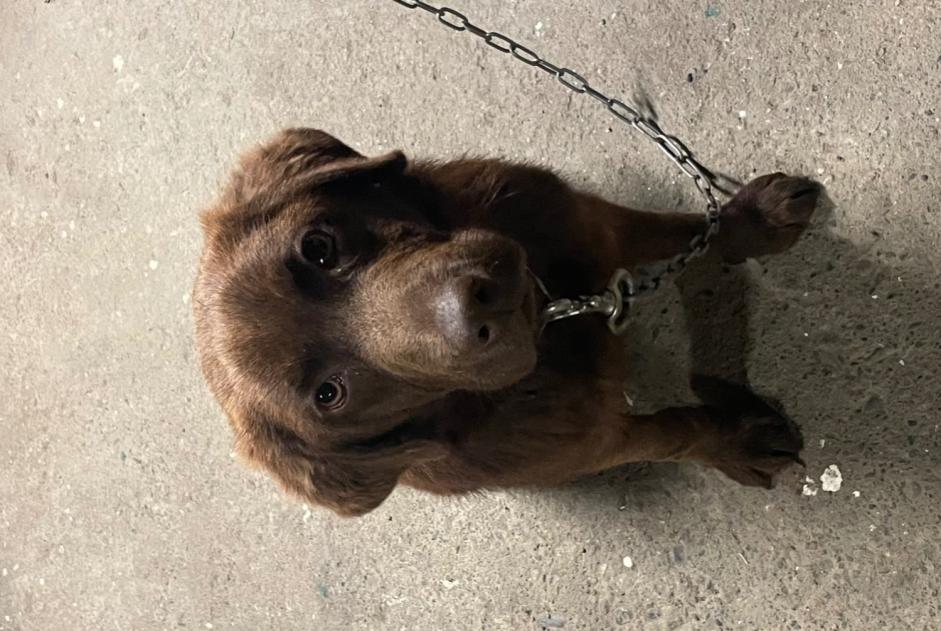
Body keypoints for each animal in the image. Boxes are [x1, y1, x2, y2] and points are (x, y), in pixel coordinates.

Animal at [195, 130, 820, 520]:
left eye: (318, 248)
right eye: (330, 394)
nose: (476, 308)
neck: (554, 312)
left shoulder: (587, 221)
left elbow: (680, 229)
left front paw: (751, 222)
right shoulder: (591, 441)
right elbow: (673, 433)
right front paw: (738, 443)